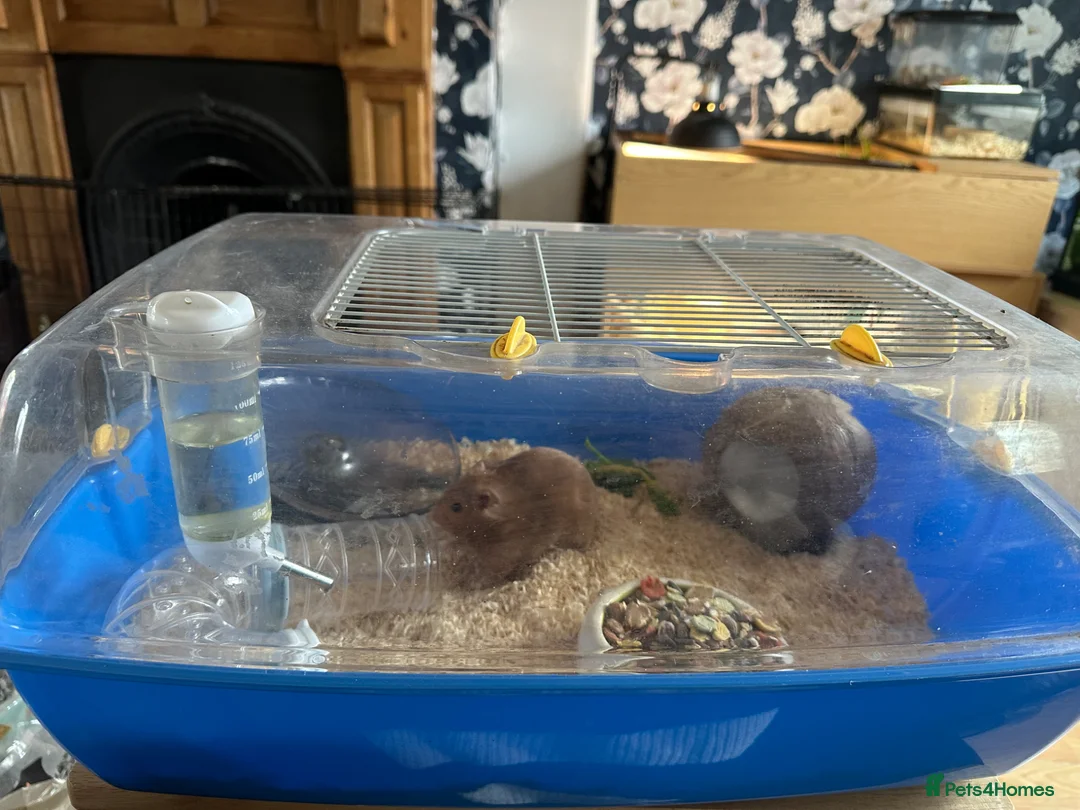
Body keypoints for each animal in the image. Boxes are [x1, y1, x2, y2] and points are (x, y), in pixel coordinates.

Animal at [430, 447, 600, 589]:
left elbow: (489, 573)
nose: (433, 516)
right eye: (449, 489)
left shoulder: (503, 554)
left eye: (456, 507)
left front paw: (471, 584)